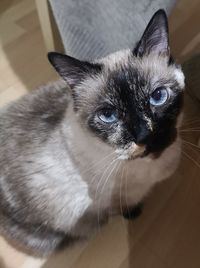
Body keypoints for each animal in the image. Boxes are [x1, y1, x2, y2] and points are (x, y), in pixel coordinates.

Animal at [0, 9, 184, 255]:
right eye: (108, 115)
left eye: (158, 97)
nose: (145, 135)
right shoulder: (105, 200)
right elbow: (121, 207)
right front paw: (133, 214)